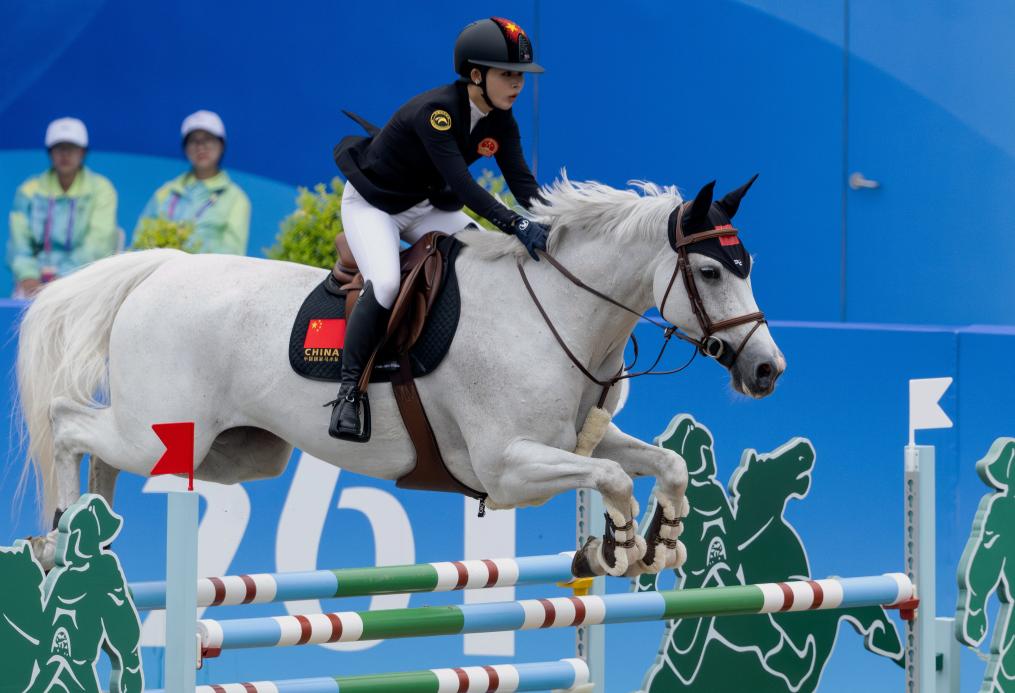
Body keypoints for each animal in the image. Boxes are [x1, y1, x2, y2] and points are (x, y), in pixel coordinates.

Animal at [16, 176, 784, 578]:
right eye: (709, 271)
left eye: (747, 266)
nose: (767, 369)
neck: (556, 313)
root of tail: (161, 267)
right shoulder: (507, 469)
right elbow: (615, 477)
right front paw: (621, 544)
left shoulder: (575, 439)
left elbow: (659, 462)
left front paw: (662, 538)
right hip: (164, 433)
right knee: (68, 422)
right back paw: (57, 538)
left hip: (233, 452)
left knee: (105, 453)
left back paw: (95, 534)